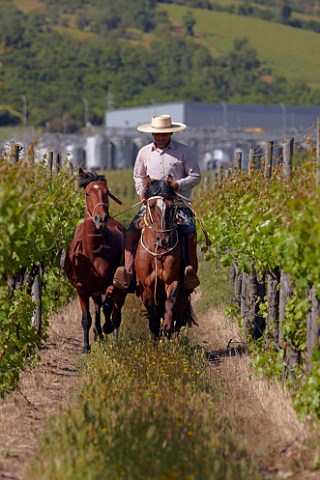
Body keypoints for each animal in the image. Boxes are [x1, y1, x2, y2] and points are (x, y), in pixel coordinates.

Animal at [63, 169, 126, 352]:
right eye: (87, 193)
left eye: (106, 192)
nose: (101, 218)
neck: (93, 252)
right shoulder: (81, 288)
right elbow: (86, 318)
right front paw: (86, 347)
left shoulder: (112, 283)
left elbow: (108, 307)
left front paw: (107, 327)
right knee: (98, 306)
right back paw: (98, 333)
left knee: (115, 311)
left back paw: (112, 337)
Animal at [134, 176, 194, 338]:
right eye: (151, 205)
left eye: (172, 206)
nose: (164, 240)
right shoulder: (146, 286)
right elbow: (152, 314)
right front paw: (157, 331)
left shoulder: (173, 280)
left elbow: (170, 302)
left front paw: (166, 328)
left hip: (184, 296)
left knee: (178, 319)